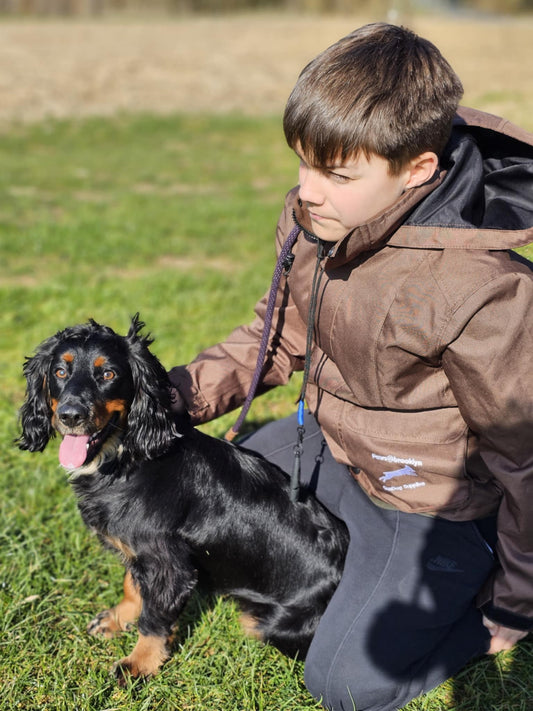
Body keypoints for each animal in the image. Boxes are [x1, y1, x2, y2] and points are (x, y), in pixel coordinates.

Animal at [16, 316, 348, 684]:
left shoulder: (168, 565)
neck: (127, 457)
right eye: (60, 371)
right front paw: (117, 619)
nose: (70, 416)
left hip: (265, 622)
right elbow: (131, 585)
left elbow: (154, 620)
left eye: (108, 375)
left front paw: (139, 664)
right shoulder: (143, 549)